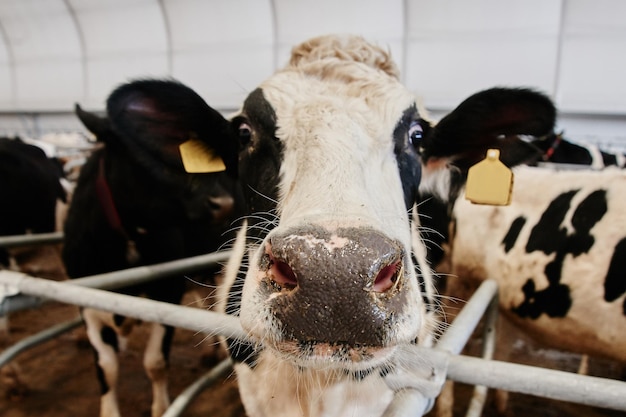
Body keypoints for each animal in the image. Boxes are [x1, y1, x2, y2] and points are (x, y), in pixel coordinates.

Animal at [60, 79, 241, 416]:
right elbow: (106, 368)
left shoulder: (167, 289)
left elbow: (155, 361)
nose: (222, 202)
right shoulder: (86, 298)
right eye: (141, 153)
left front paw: (160, 407)